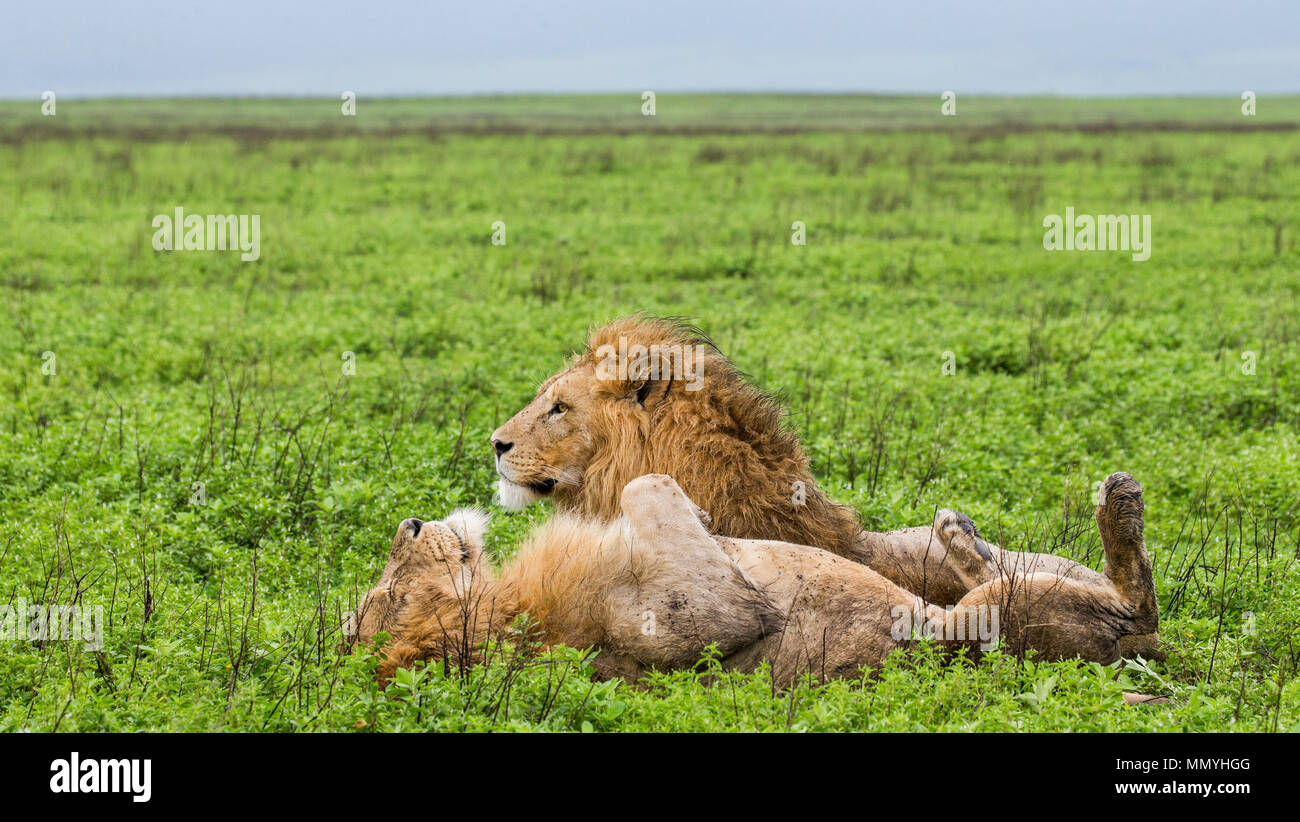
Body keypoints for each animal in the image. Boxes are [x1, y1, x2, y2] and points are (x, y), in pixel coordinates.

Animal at [358, 468, 1159, 686]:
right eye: (385, 598)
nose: (410, 524)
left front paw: (708, 517)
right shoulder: (692, 620)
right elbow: (647, 484)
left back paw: (960, 532)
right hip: (985, 625)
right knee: (1135, 607)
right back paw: (1118, 505)